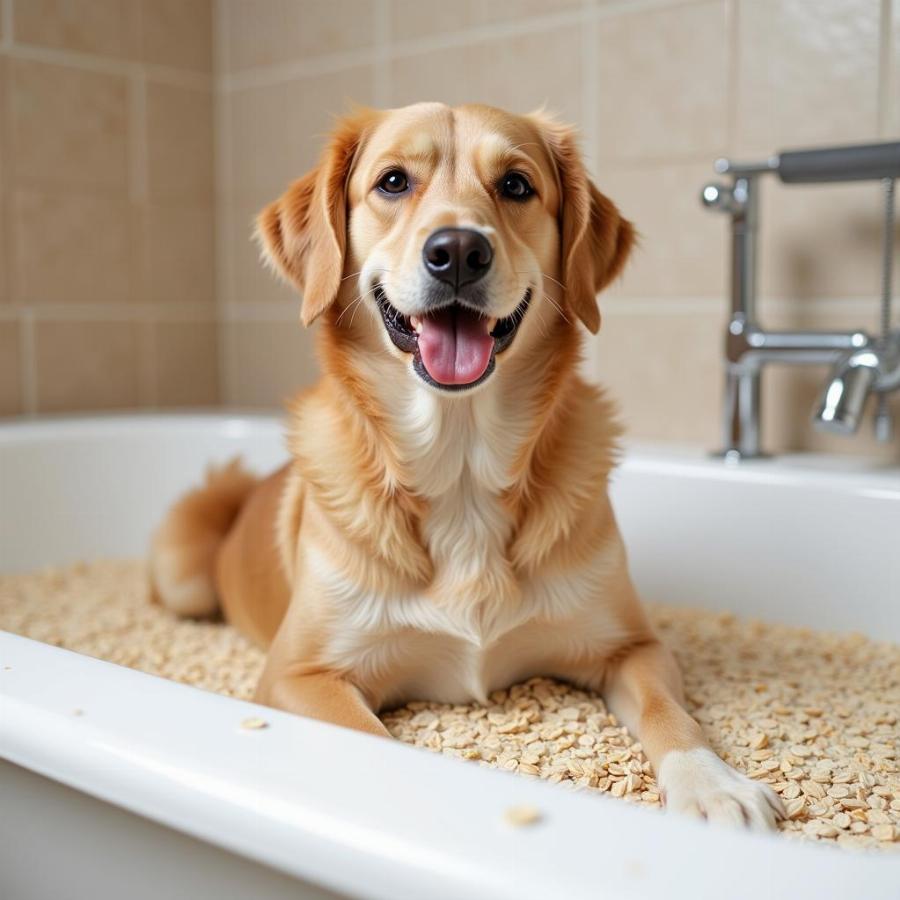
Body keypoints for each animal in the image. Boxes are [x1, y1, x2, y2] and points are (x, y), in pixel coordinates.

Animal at [151, 103, 784, 828]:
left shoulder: (633, 646)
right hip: (182, 573)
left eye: (515, 185)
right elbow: (374, 737)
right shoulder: (300, 673)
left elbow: (673, 715)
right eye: (393, 181)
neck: (460, 467)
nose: (458, 251)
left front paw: (712, 784)